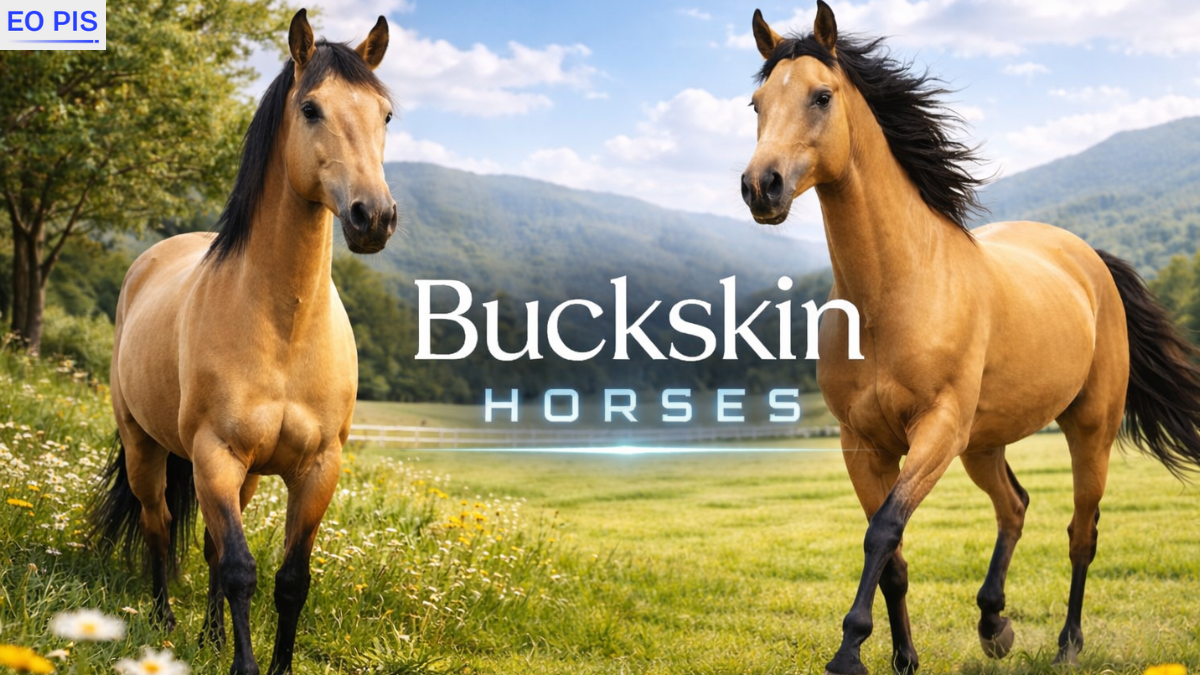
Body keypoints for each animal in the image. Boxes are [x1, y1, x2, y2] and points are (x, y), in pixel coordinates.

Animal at [89, 10, 397, 675]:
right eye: (310, 108)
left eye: (385, 114)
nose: (374, 217)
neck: (285, 328)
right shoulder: (215, 455)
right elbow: (239, 570)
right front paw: (246, 665)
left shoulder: (317, 468)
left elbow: (289, 579)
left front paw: (272, 664)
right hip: (147, 449)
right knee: (159, 524)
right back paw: (165, 623)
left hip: (247, 475)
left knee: (204, 542)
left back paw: (208, 635)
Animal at [741, 3, 1200, 674]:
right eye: (756, 104)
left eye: (821, 96)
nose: (761, 186)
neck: (895, 294)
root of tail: (1088, 259)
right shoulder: (862, 443)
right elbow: (893, 556)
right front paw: (904, 658)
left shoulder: (936, 429)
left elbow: (883, 531)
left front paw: (849, 651)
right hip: (983, 444)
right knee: (1015, 505)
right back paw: (994, 624)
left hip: (1088, 429)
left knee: (1081, 534)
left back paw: (1067, 644)